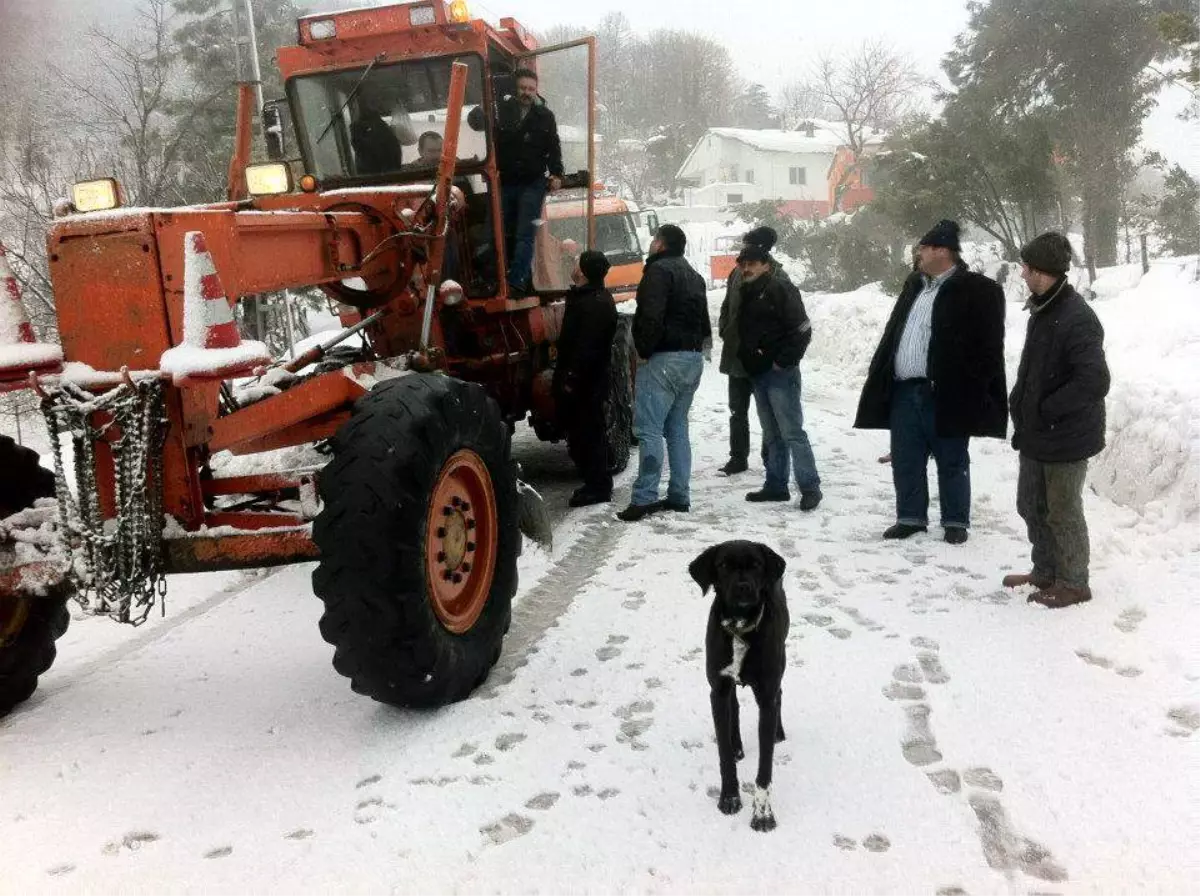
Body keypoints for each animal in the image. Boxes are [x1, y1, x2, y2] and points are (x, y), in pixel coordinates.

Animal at [691, 539, 792, 834]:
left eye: (756, 564)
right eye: (723, 565)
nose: (743, 587)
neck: (739, 627)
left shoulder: (766, 696)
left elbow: (765, 768)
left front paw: (763, 814)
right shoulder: (718, 690)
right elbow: (723, 753)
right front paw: (729, 797)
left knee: (780, 694)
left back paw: (779, 732)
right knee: (734, 706)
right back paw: (737, 745)